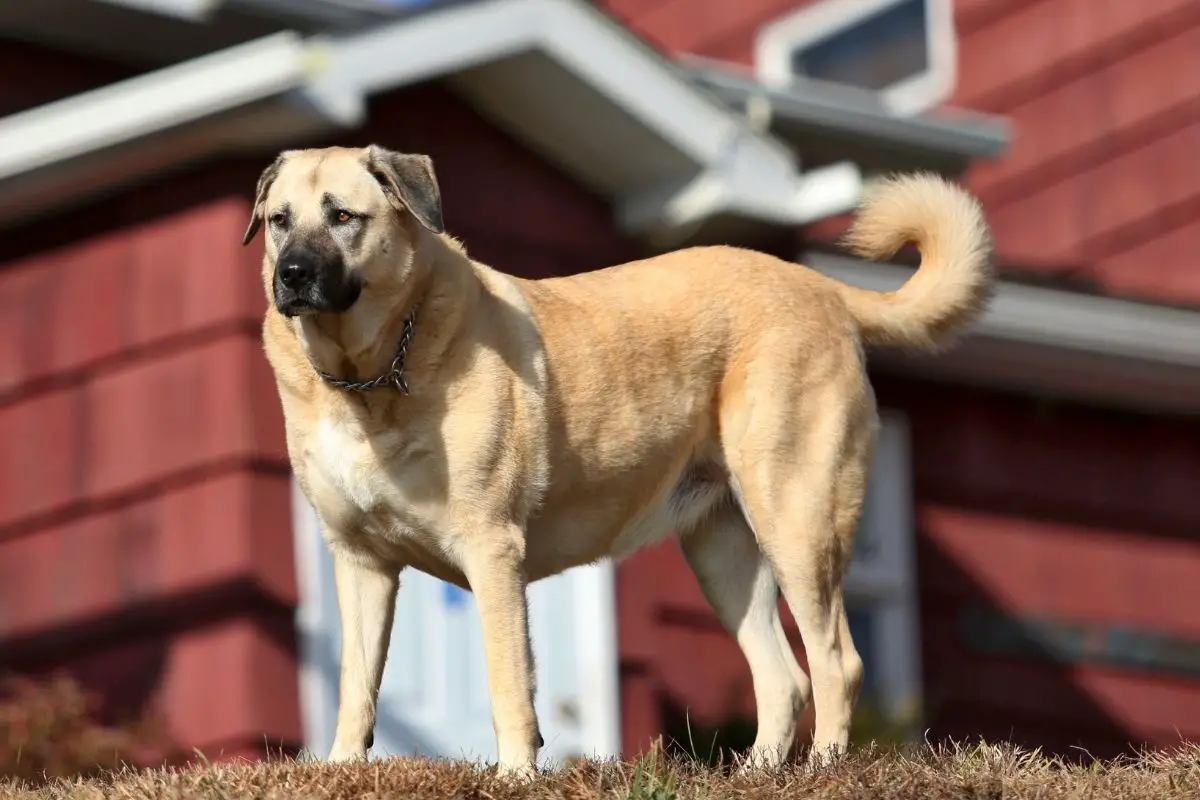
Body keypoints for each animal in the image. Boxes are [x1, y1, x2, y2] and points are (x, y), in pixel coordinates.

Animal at [243, 146, 993, 777]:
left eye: (343, 216)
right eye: (279, 221)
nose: (291, 276)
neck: (367, 380)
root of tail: (821, 288)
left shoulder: (492, 548)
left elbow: (507, 679)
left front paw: (517, 777)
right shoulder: (360, 560)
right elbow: (356, 682)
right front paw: (342, 770)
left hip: (797, 519)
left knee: (838, 659)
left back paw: (824, 770)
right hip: (723, 550)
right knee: (785, 676)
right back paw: (755, 773)